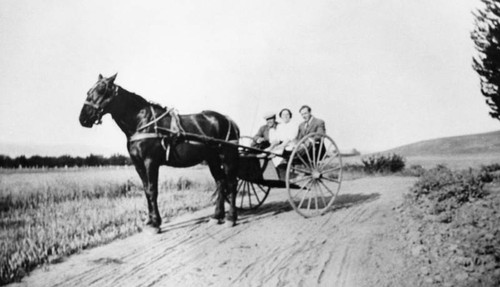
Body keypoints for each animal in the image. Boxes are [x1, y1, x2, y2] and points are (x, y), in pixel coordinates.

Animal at [79, 73, 241, 233]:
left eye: (101, 90)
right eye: (88, 91)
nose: (83, 118)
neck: (142, 123)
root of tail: (228, 120)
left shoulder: (150, 162)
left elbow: (152, 190)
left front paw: (156, 223)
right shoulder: (138, 164)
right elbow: (146, 190)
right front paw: (150, 221)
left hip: (228, 157)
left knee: (231, 183)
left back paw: (231, 218)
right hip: (212, 159)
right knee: (220, 182)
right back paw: (217, 216)